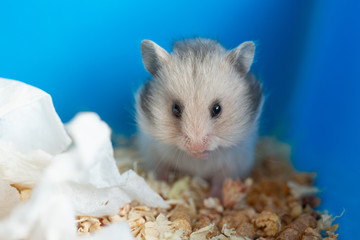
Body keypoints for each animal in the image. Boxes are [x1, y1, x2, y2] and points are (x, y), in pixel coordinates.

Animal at [135, 38, 264, 196]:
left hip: (234, 166)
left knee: (220, 180)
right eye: (175, 108)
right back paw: (159, 184)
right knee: (162, 169)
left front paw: (202, 154)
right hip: (153, 155)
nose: (196, 147)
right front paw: (195, 153)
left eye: (217, 109)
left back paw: (214, 197)